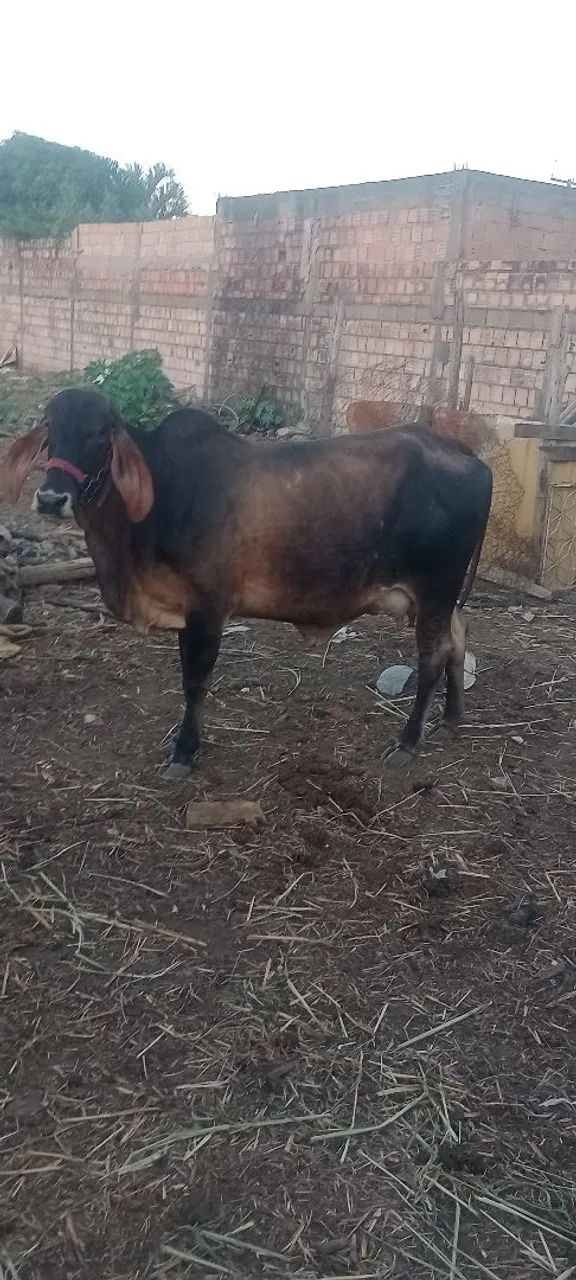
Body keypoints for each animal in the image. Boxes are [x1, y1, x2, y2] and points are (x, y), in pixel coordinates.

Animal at [0, 388, 492, 777]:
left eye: (100, 434)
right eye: (50, 429)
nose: (50, 498)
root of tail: (472, 458)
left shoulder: (207, 609)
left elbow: (195, 681)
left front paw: (185, 752)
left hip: (435, 589)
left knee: (432, 656)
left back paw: (408, 741)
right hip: (443, 598)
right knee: (459, 637)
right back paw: (451, 720)